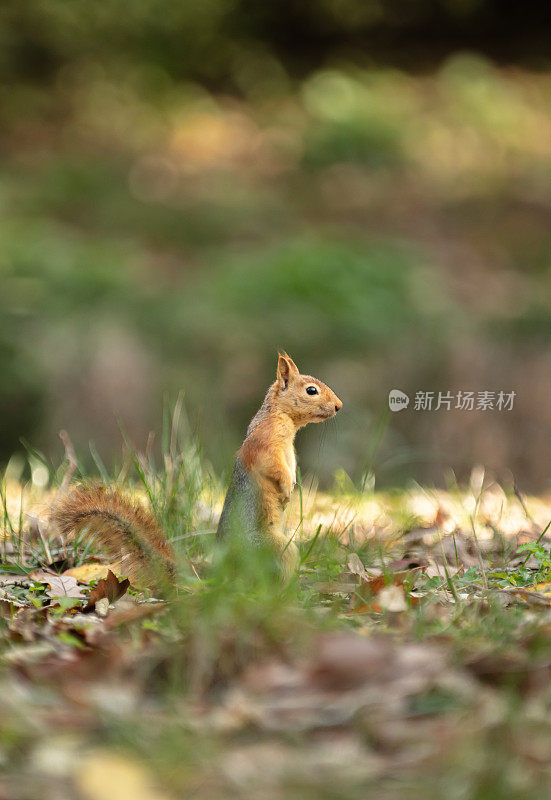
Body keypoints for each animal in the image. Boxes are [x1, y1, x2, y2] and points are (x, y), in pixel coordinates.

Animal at [52, 354, 344, 584]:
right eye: (311, 390)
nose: (339, 406)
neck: (282, 418)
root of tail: (225, 570)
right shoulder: (264, 446)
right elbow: (275, 468)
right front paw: (286, 487)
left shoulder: (288, 451)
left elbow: (291, 464)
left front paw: (293, 485)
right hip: (279, 546)